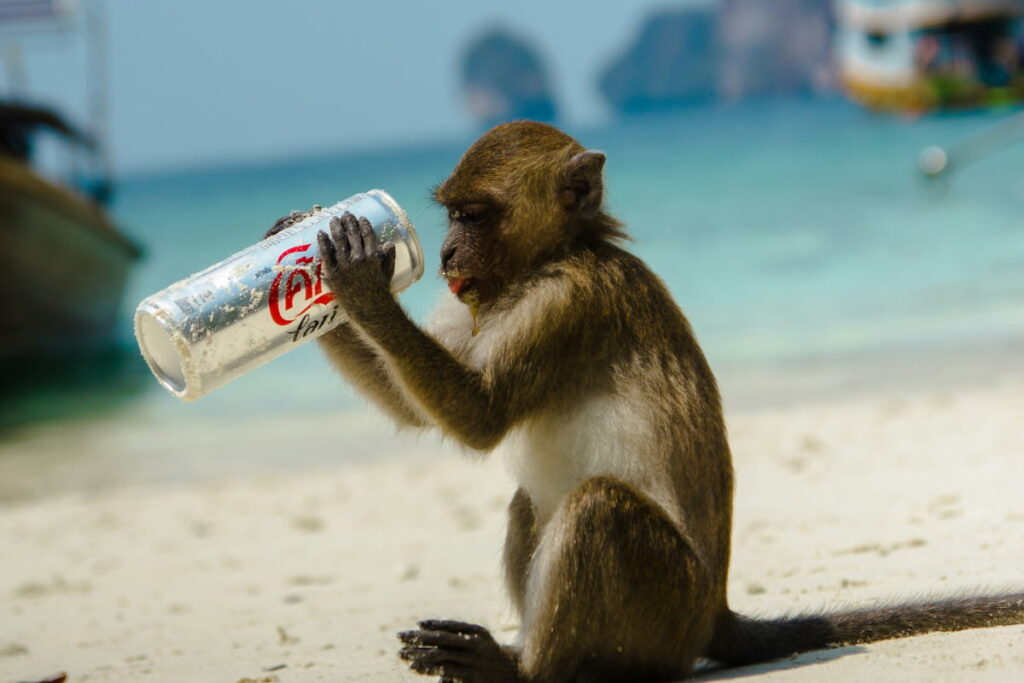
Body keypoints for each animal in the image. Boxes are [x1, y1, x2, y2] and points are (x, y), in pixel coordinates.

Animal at [265, 121, 1024, 682]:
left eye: (472, 216)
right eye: (451, 218)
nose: (447, 253)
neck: (559, 255)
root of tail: (714, 611)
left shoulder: (566, 302)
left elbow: (480, 419)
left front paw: (357, 279)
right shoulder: (479, 302)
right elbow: (421, 411)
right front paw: (297, 262)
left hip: (667, 612)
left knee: (596, 505)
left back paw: (526, 669)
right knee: (532, 501)